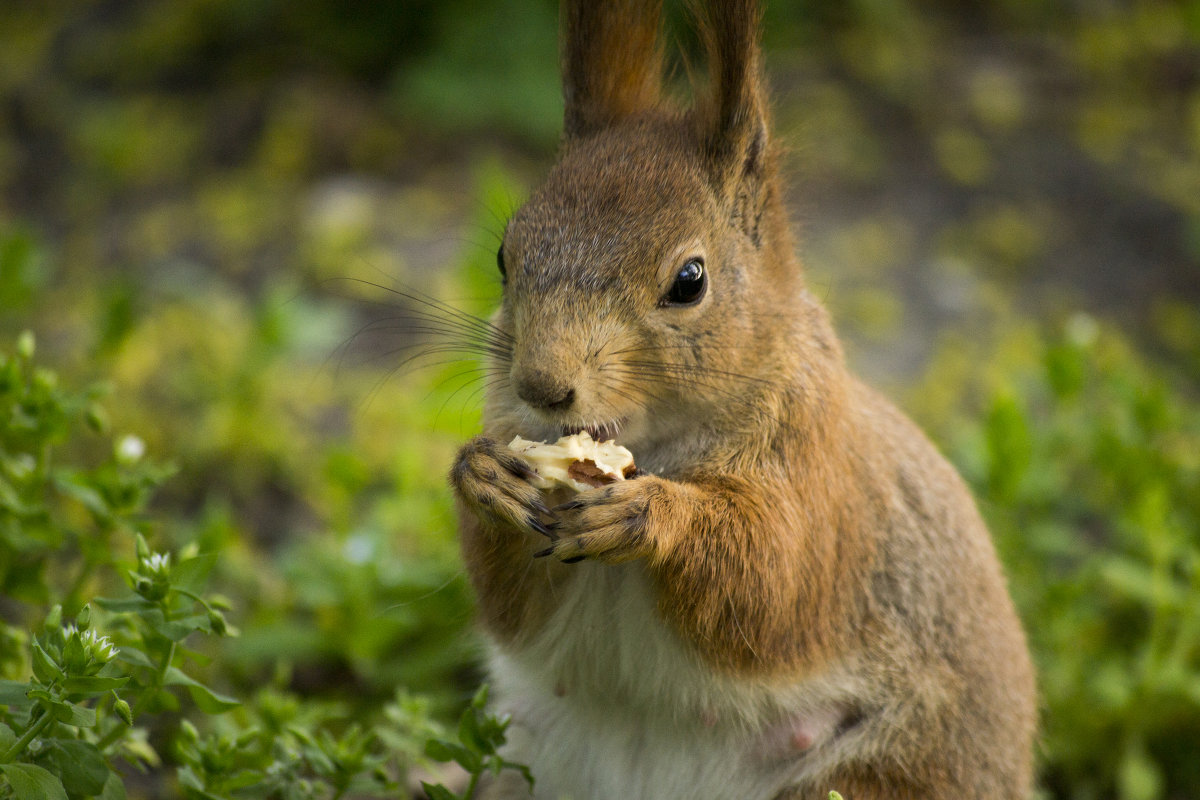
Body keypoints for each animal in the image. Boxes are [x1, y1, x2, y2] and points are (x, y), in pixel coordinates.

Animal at [446, 3, 1036, 796]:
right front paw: (482, 476)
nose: (541, 387)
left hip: (877, 775)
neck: (652, 440)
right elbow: (510, 606)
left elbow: (772, 585)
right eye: (505, 256)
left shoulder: (822, 481)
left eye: (690, 280)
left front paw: (653, 513)